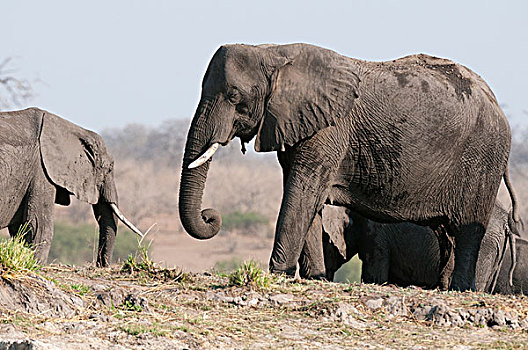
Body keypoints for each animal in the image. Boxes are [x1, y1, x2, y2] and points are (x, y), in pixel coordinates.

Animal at [0, 106, 142, 266]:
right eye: (109, 169)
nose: (101, 265)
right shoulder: (41, 172)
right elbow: (40, 228)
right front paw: (36, 265)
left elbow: (20, 230)